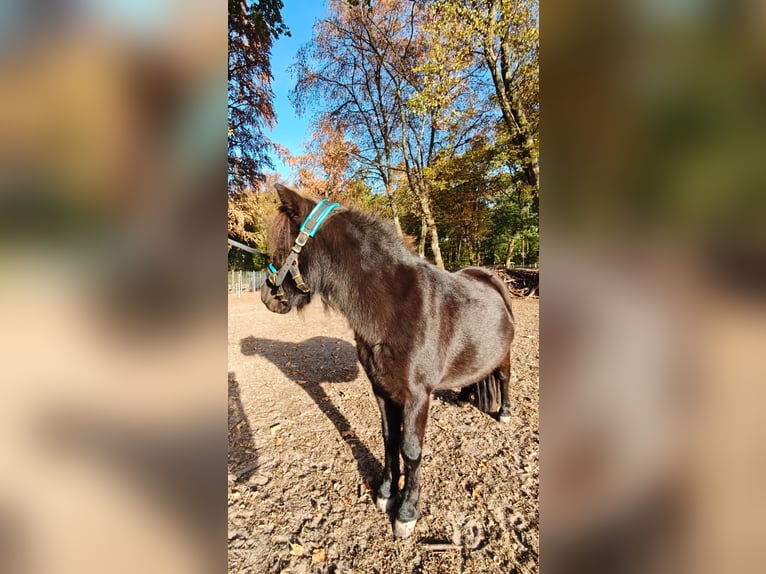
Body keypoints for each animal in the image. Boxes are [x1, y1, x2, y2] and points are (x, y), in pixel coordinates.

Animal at [260, 183, 515, 539]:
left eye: (283, 247)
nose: (266, 298)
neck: (395, 309)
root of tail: (491, 277)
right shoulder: (381, 389)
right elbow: (390, 439)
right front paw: (384, 494)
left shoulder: (418, 396)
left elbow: (411, 450)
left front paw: (406, 513)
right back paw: (465, 396)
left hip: (504, 356)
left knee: (503, 380)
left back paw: (504, 413)